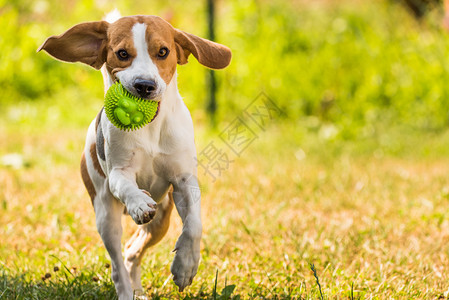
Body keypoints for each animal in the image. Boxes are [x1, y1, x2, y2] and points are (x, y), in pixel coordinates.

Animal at [38, 13, 231, 298]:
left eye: (163, 52)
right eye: (122, 53)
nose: (144, 86)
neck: (149, 127)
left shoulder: (184, 180)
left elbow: (194, 225)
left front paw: (185, 267)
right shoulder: (119, 173)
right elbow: (127, 186)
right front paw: (139, 203)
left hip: (161, 220)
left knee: (131, 251)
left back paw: (139, 289)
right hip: (105, 213)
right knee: (118, 264)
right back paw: (127, 291)